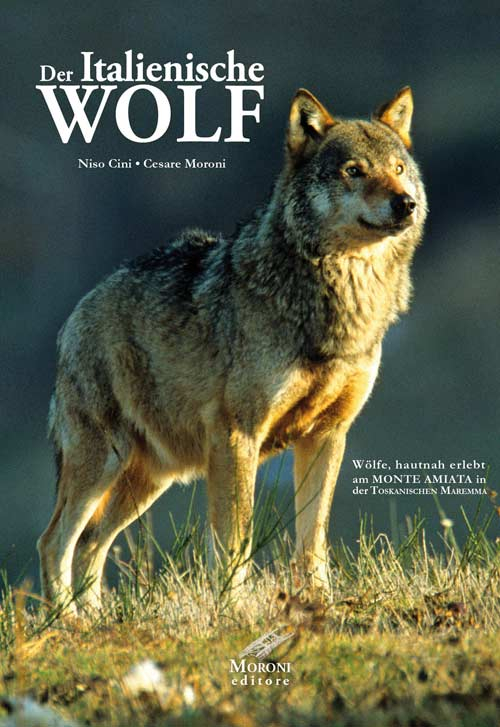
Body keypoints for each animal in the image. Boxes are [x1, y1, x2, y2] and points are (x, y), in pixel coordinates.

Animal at [38, 86, 427, 612]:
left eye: (399, 168)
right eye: (354, 170)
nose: (407, 203)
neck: (335, 303)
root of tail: (78, 309)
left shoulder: (327, 434)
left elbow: (313, 537)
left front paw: (317, 604)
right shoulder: (237, 435)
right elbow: (234, 539)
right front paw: (235, 609)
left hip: (150, 478)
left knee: (90, 544)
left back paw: (96, 620)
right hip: (105, 462)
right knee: (56, 541)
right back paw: (71, 622)